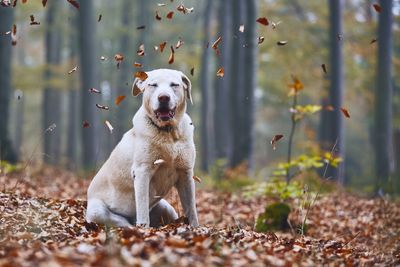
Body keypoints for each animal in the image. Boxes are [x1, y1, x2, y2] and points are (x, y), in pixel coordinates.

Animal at [88, 68, 200, 228]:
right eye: (153, 85)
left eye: (174, 85)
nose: (163, 97)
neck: (168, 134)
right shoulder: (142, 172)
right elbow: (142, 210)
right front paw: (144, 231)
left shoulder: (186, 173)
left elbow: (191, 210)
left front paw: (196, 229)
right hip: (97, 211)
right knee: (124, 222)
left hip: (166, 207)